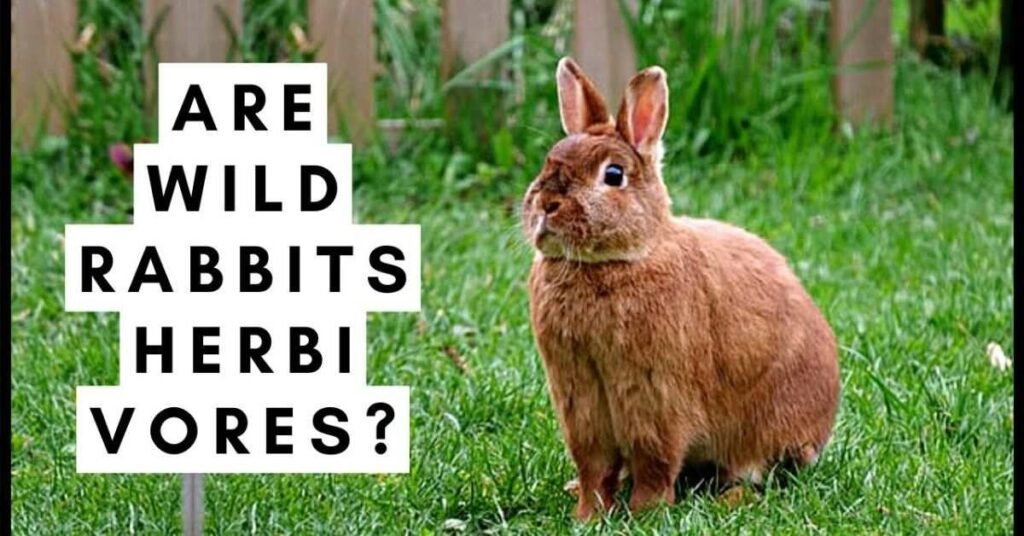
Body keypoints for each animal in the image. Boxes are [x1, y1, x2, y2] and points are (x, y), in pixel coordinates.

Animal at [522, 57, 840, 521]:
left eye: (613, 175)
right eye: (548, 162)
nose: (546, 204)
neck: (614, 263)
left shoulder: (655, 397)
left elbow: (654, 461)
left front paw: (646, 513)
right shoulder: (579, 399)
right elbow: (594, 465)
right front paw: (588, 514)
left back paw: (732, 497)